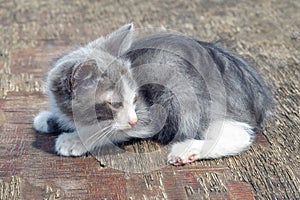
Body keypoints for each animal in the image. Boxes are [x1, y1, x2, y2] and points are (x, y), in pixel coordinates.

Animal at [33, 23, 272, 166]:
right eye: (115, 104)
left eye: (134, 99)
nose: (133, 119)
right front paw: (49, 118)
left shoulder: (149, 115)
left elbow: (107, 130)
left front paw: (74, 139)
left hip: (184, 91)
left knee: (237, 135)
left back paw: (187, 150)